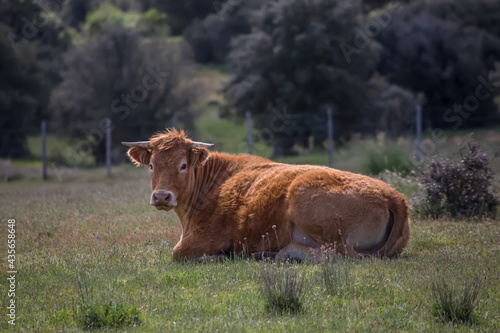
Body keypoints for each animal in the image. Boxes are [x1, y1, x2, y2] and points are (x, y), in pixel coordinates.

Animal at [122, 128, 410, 260]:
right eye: (151, 165)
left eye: (183, 165)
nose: (161, 196)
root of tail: (393, 196)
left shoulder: (203, 238)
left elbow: (177, 252)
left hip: (309, 207)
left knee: (337, 255)